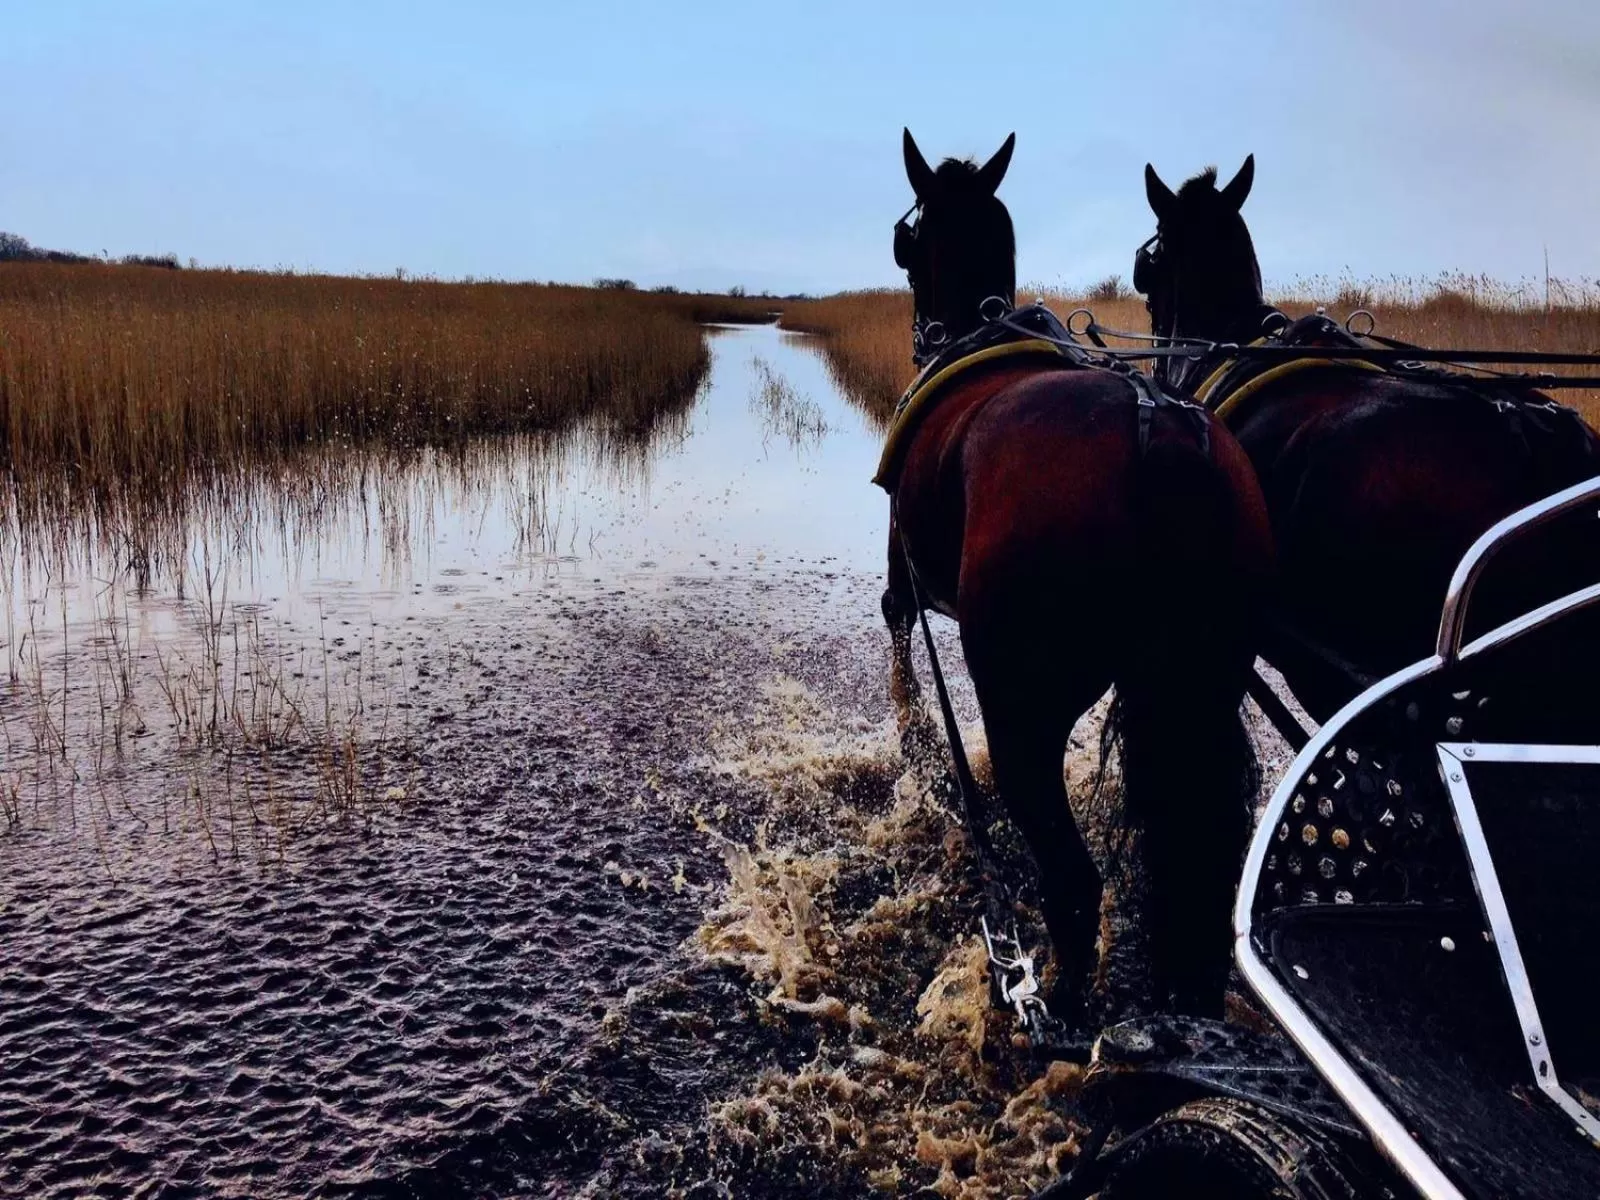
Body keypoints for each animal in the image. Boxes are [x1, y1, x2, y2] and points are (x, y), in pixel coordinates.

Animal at [881, 130, 1274, 1022]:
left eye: (907, 243)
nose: (920, 334)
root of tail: (1157, 437)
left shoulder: (901, 565)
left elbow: (898, 632)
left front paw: (915, 743)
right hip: (1201, 686)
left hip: (1020, 705)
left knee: (1070, 883)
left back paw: (1052, 1002)